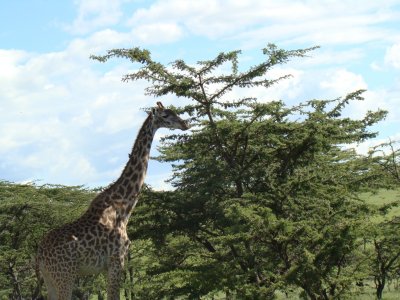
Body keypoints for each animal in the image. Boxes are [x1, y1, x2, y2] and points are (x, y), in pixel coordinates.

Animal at [35, 102, 188, 298]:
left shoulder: (107, 266)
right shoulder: (117, 259)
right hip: (65, 275)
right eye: (166, 116)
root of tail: (40, 253)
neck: (123, 206)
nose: (185, 124)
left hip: (50, 279)